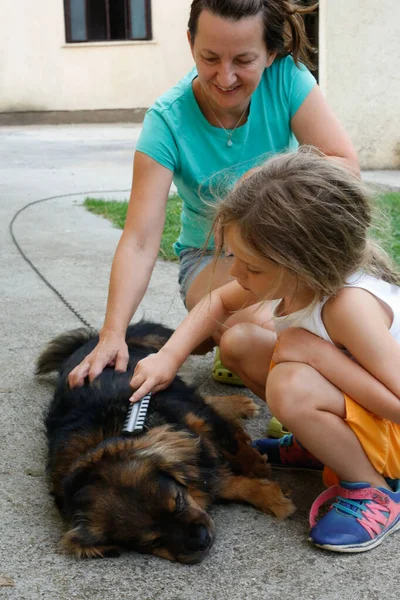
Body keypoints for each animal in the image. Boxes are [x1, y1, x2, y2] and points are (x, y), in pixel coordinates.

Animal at [36, 322, 294, 564]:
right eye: (153, 541)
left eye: (178, 502)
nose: (202, 540)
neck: (116, 433)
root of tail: (91, 342)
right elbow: (224, 483)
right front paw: (270, 496)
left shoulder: (197, 421)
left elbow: (231, 448)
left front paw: (259, 471)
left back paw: (238, 406)